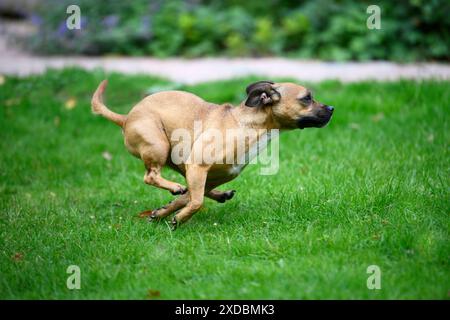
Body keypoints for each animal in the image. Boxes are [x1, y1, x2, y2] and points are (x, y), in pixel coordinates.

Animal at [90, 80, 334, 230]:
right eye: (307, 98)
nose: (331, 108)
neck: (247, 124)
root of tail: (126, 118)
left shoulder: (208, 175)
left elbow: (189, 199)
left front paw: (164, 212)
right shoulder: (197, 166)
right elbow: (195, 201)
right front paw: (179, 218)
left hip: (178, 160)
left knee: (188, 189)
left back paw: (215, 194)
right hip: (159, 145)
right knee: (151, 176)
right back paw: (174, 187)